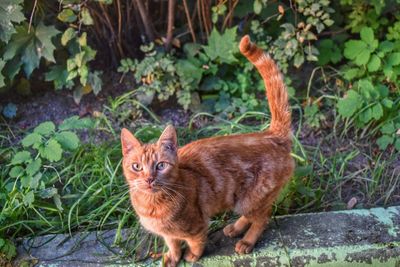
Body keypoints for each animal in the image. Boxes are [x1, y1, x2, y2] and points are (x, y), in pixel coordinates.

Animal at [121, 36, 294, 267]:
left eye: (161, 165)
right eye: (136, 167)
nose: (149, 179)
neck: (153, 205)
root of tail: (271, 134)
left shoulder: (198, 225)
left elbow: (196, 242)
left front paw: (192, 256)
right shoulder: (168, 234)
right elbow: (172, 243)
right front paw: (172, 257)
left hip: (252, 198)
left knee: (262, 218)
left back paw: (247, 241)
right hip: (243, 200)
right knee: (253, 215)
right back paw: (235, 228)